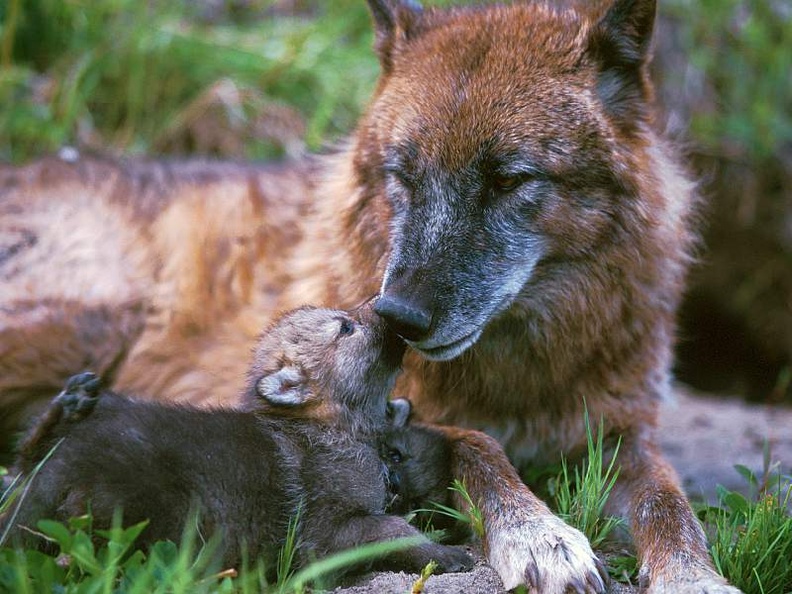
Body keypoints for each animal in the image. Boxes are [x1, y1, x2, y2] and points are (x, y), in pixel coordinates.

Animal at [0, 0, 740, 592]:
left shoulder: (621, 439)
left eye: (509, 179)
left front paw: (696, 580)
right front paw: (540, 536)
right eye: (402, 175)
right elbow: (480, 447)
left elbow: (672, 510)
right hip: (88, 325)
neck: (519, 369)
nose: (399, 317)